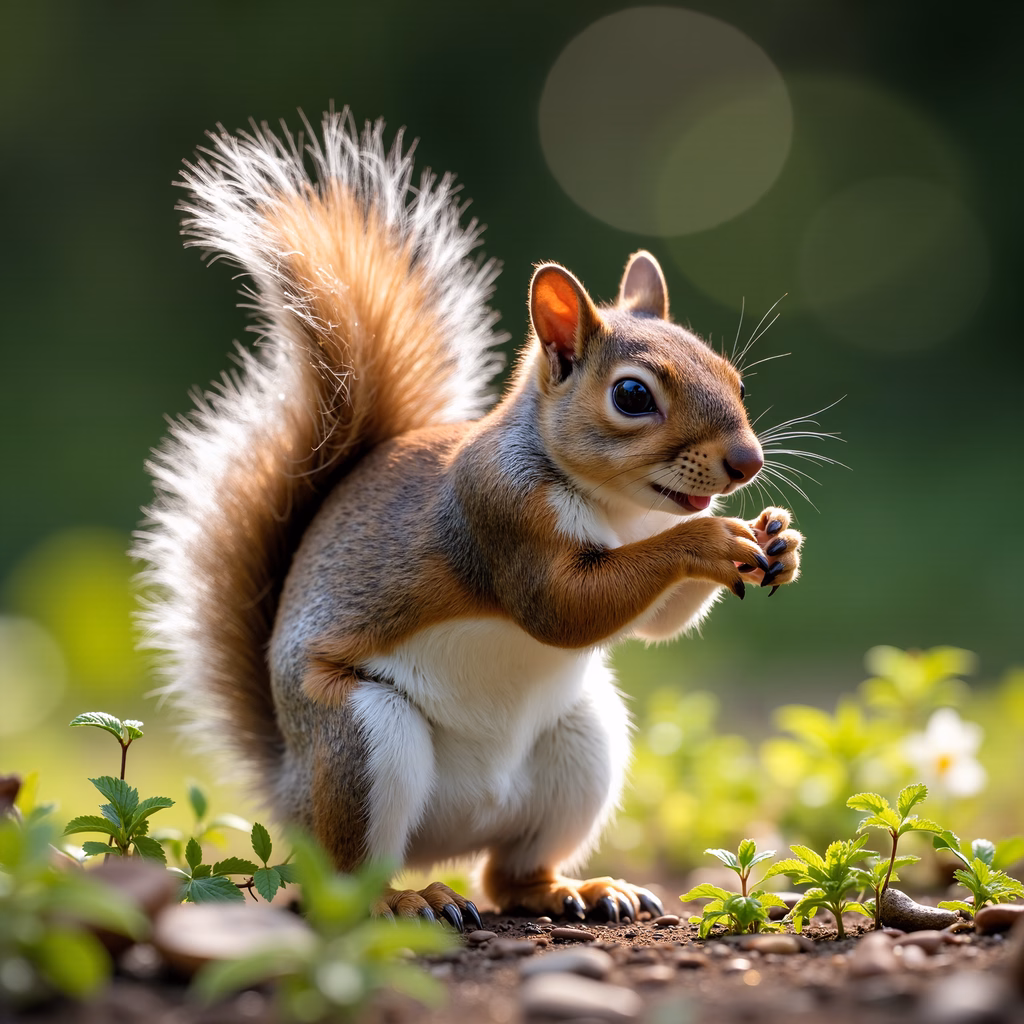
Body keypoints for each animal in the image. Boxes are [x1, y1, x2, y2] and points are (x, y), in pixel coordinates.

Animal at [135, 109, 803, 928]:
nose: (747, 461)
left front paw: (780, 540)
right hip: (364, 741)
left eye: (733, 378)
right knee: (349, 883)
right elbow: (562, 607)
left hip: (583, 741)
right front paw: (710, 538)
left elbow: (656, 623)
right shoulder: (498, 514)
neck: (617, 509)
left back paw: (578, 890)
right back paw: (407, 901)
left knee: (507, 874)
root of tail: (288, 793)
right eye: (633, 396)